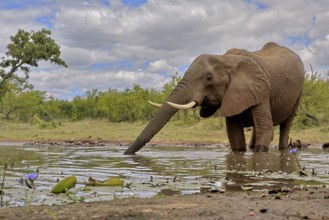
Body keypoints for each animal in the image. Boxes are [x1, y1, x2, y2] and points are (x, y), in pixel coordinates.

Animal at [124, 42, 304, 154]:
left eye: (209, 78)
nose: (126, 154)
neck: (226, 59)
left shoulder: (261, 89)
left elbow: (265, 130)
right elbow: (234, 134)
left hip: (298, 93)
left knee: (285, 125)